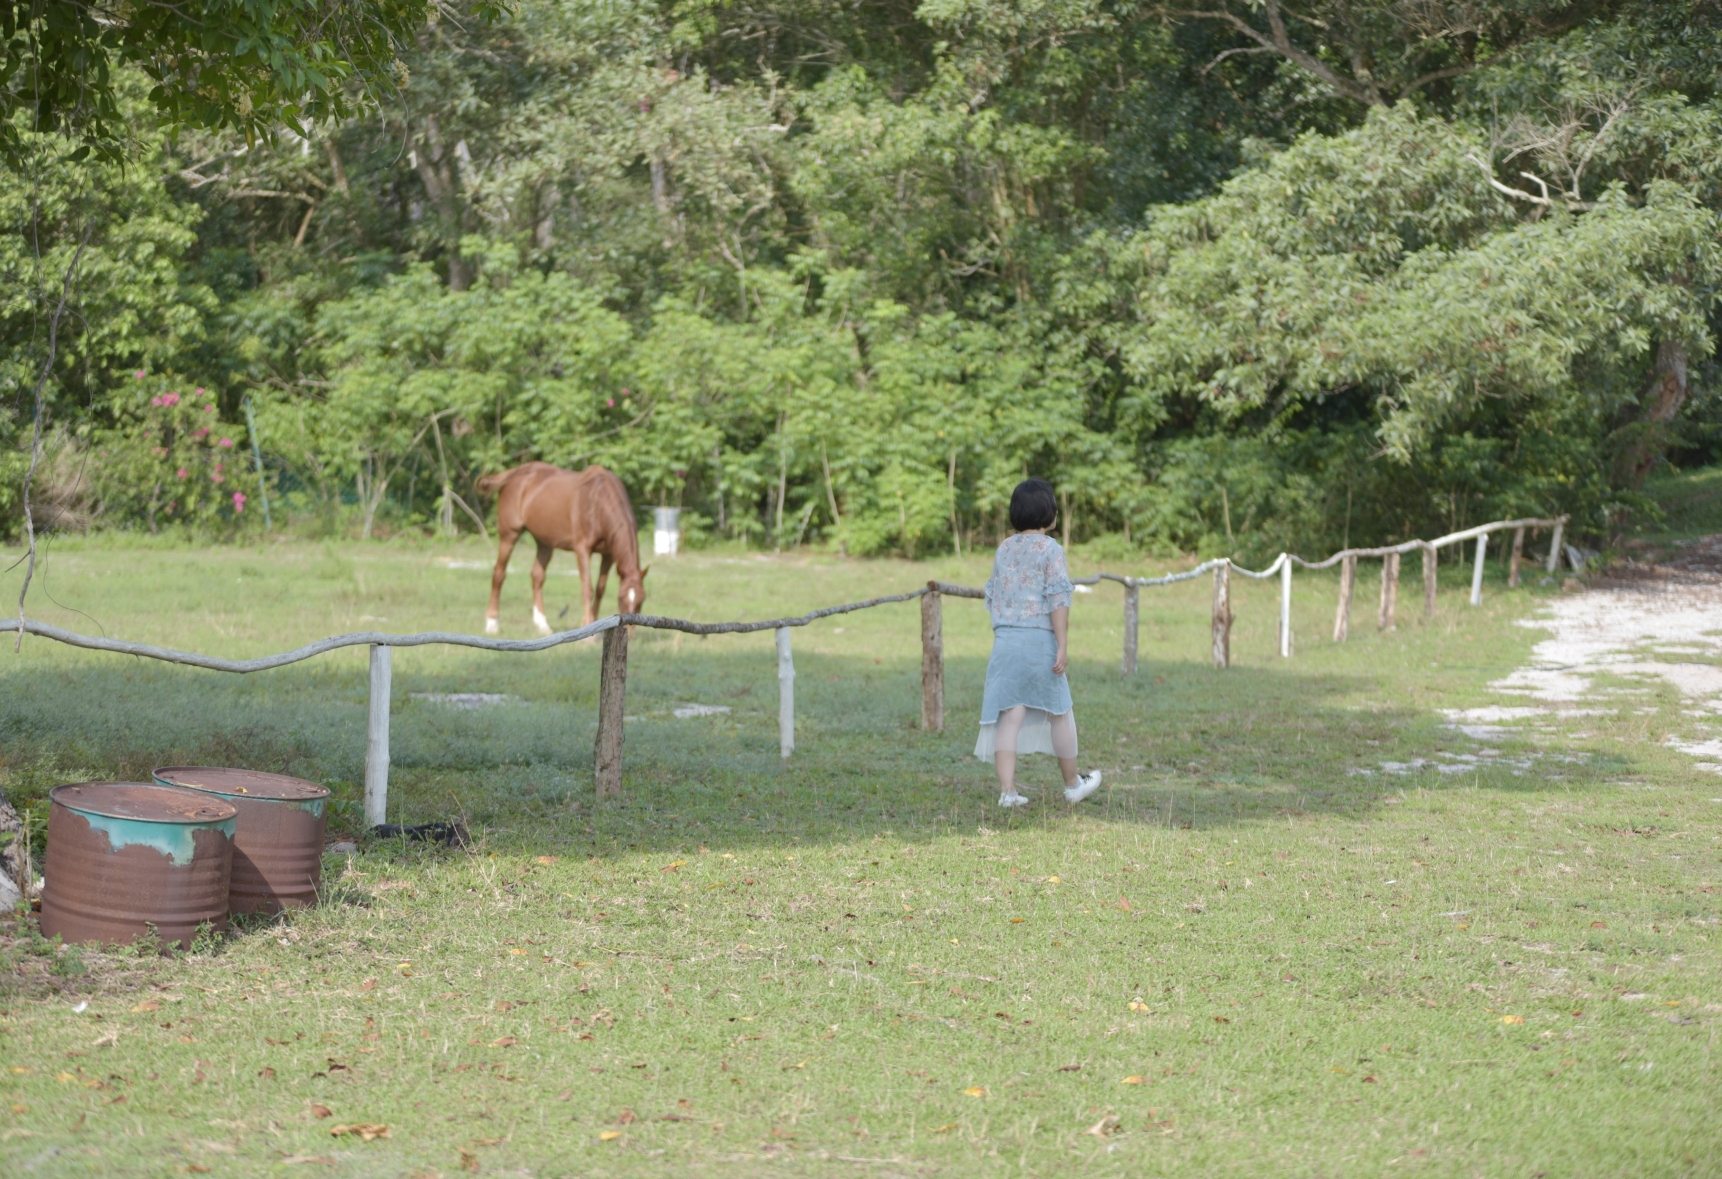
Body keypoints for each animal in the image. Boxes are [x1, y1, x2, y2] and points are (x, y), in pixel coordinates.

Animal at [478, 464, 647, 640]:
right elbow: (587, 589)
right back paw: (492, 624)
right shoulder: (582, 550)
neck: (598, 500)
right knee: (499, 574)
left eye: (642, 599)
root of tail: (517, 472)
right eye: (621, 598)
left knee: (537, 576)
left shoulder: (608, 555)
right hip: (509, 536)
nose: (630, 633)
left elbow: (600, 590)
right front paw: (588, 631)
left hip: (544, 543)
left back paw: (542, 625)